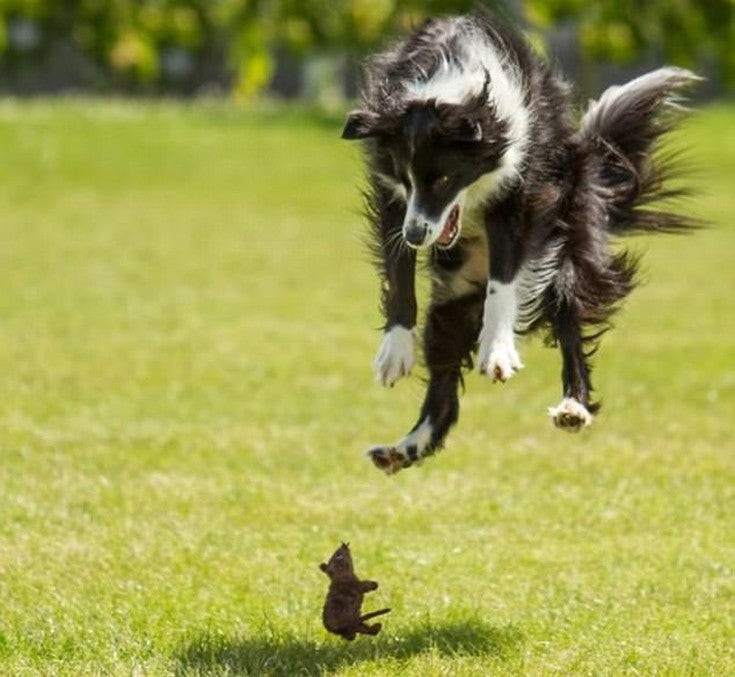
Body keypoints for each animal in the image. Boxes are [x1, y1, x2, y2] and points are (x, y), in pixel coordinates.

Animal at [342, 11, 700, 476]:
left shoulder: (522, 192)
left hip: (569, 254)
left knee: (570, 324)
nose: (418, 236)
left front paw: (497, 352)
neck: (449, 88)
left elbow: (504, 279)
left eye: (444, 177)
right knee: (443, 381)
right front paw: (394, 351)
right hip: (453, 298)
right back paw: (403, 448)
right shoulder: (393, 199)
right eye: (406, 177)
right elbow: (398, 271)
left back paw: (573, 407)